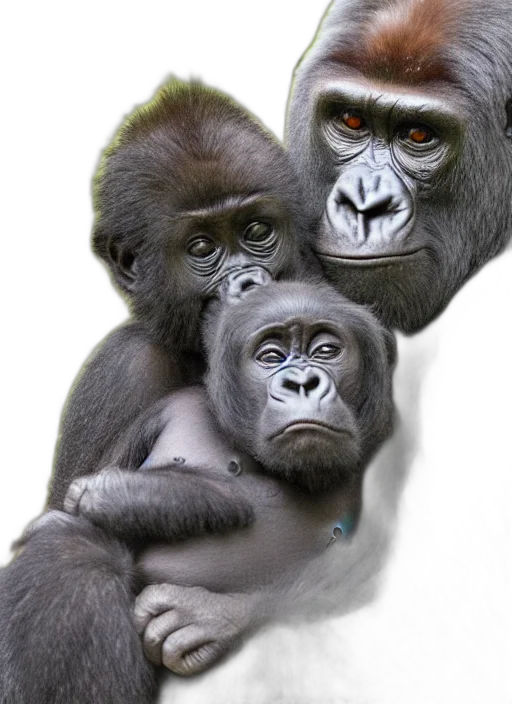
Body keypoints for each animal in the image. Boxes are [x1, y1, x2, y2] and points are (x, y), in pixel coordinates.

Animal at [0, 280, 397, 703]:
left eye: (326, 351)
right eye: (271, 356)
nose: (302, 383)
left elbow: (371, 567)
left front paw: (206, 616)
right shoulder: (134, 378)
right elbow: (66, 506)